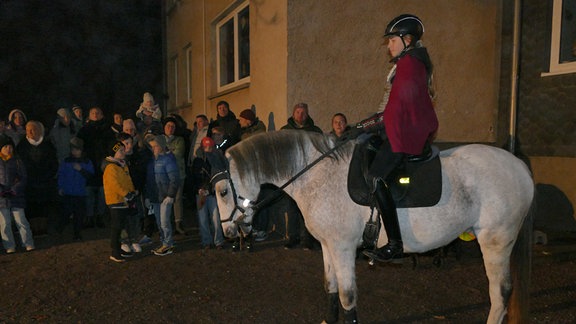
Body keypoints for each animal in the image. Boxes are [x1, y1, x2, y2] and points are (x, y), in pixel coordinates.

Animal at [213, 131, 536, 324]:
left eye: (222, 191)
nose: (228, 233)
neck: (317, 175)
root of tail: (519, 165)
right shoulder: (329, 245)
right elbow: (330, 287)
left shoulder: (343, 247)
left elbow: (347, 295)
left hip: (496, 240)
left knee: (501, 292)